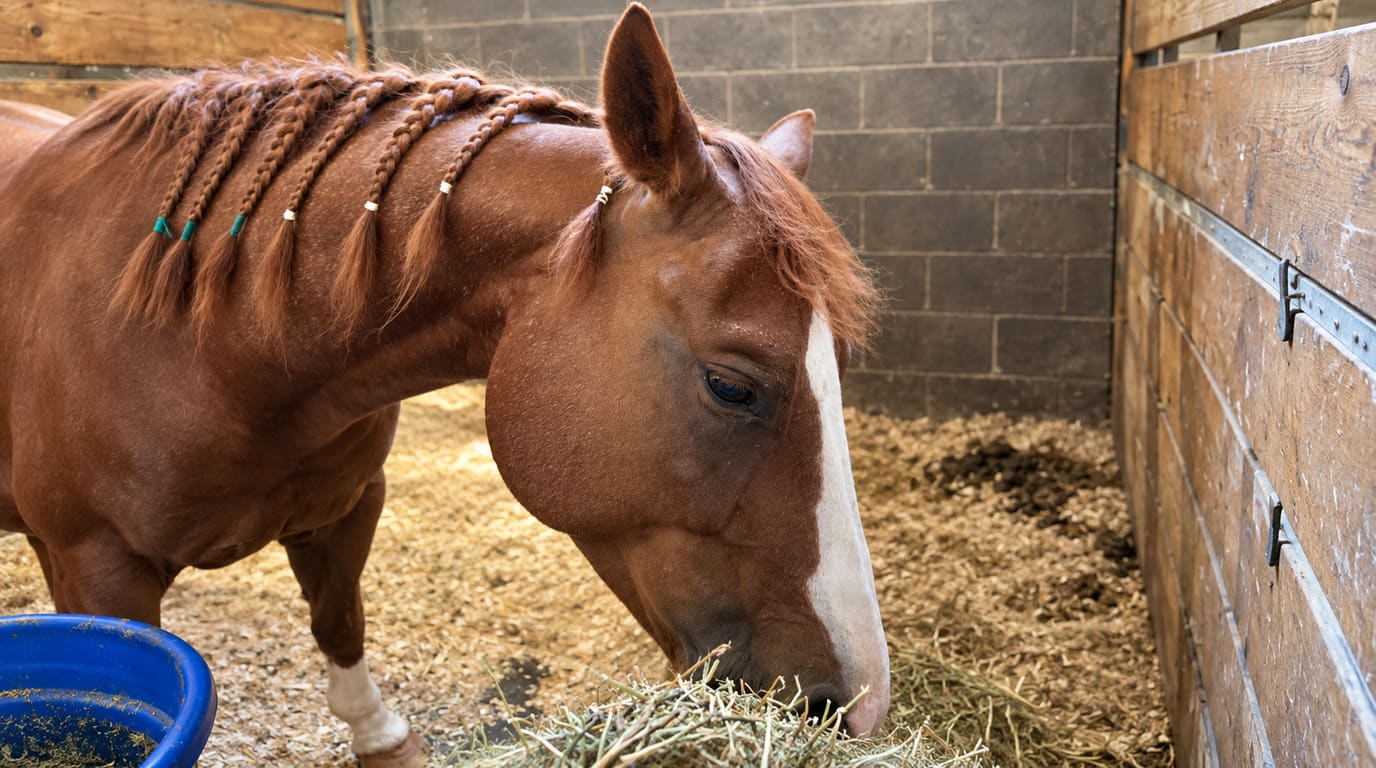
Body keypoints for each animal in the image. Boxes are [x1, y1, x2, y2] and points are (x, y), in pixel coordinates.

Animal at [0, 5, 890, 765]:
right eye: (731, 387)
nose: (857, 707)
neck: (206, 341)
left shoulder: (345, 507)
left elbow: (340, 620)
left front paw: (380, 737)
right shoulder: (98, 574)